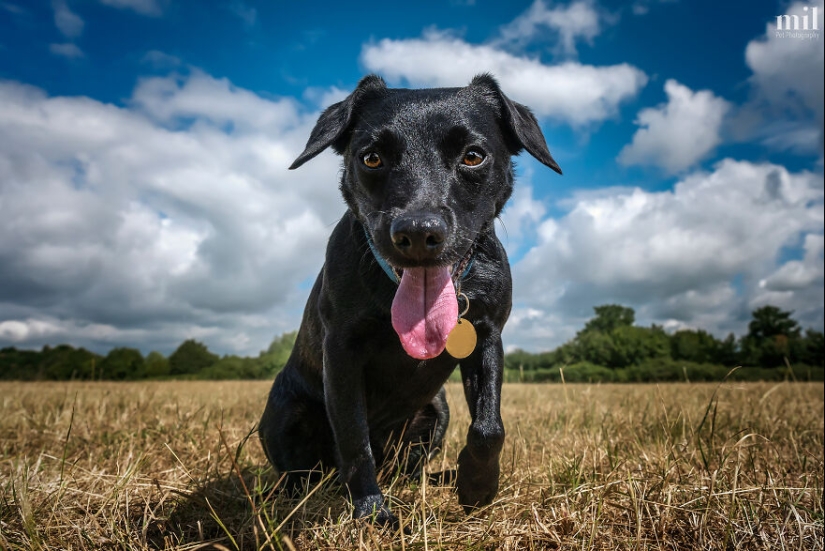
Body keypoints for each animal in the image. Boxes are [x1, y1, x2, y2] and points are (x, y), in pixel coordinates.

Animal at [260, 73, 560, 528]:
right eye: (371, 158)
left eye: (473, 156)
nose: (418, 232)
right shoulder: (341, 352)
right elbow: (354, 439)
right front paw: (371, 512)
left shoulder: (488, 335)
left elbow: (489, 427)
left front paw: (477, 486)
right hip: (283, 413)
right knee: (306, 473)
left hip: (437, 411)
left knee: (412, 468)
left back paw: (442, 478)